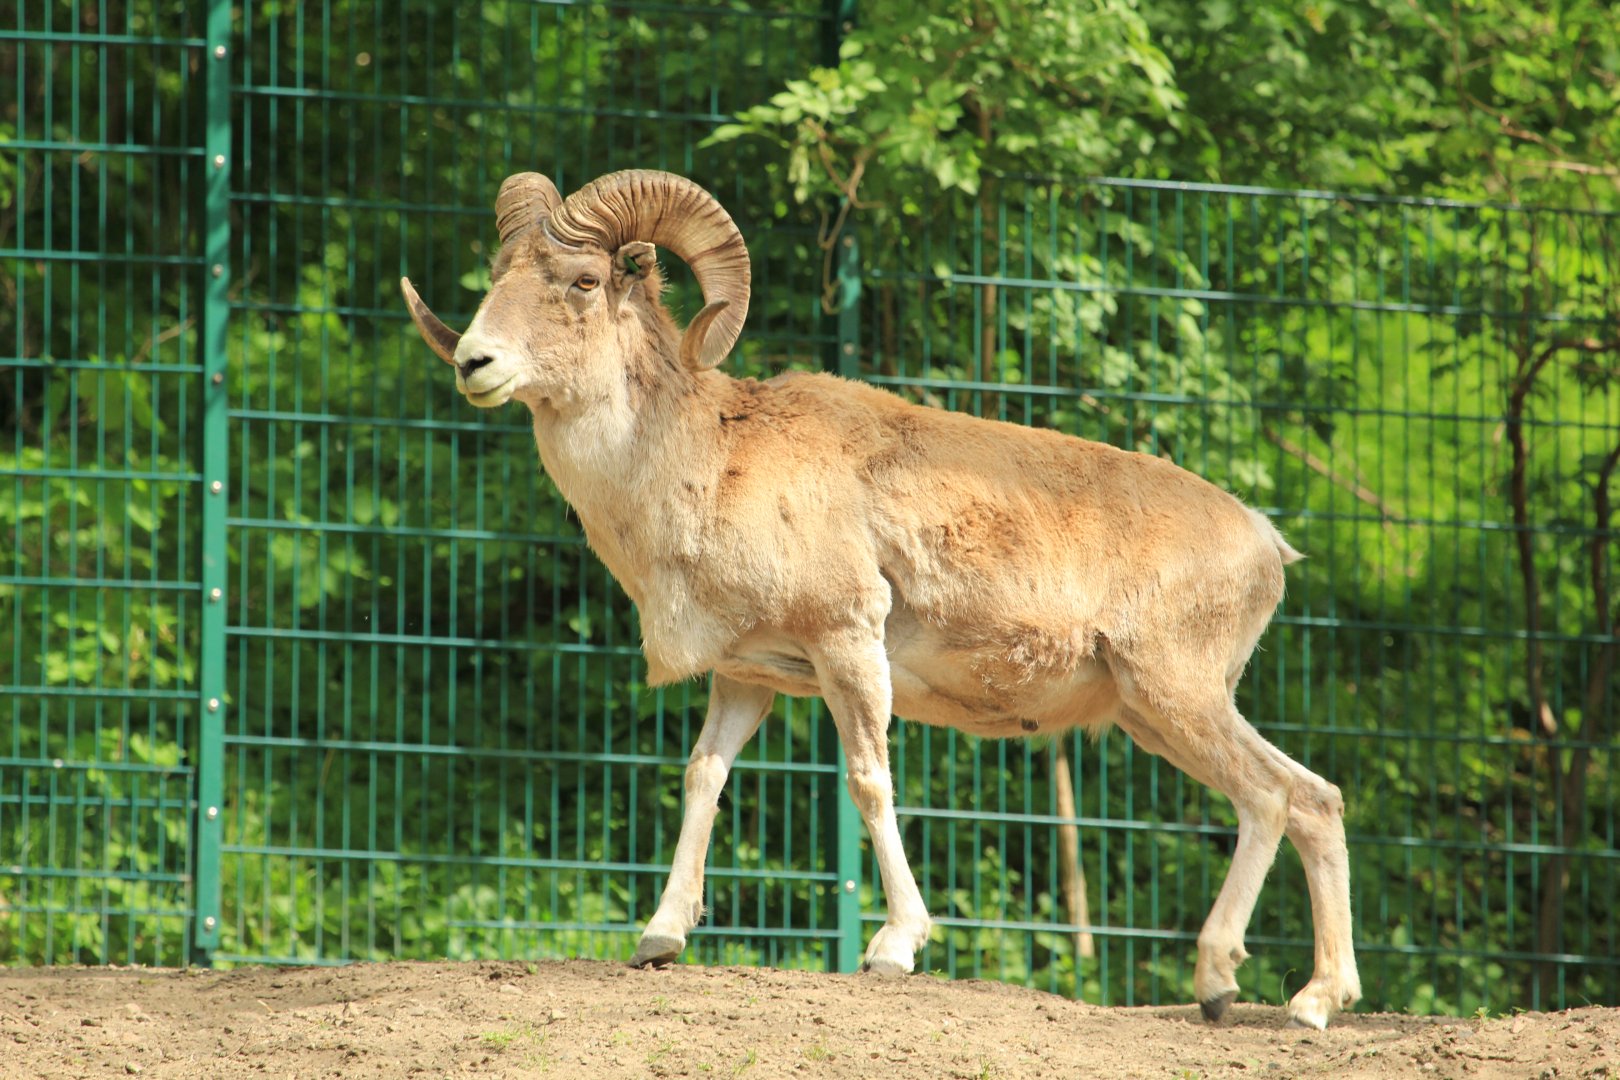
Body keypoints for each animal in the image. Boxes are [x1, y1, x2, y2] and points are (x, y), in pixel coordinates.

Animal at [400, 169, 1363, 1029]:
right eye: (499, 273)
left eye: (584, 281)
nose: (475, 363)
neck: (703, 464)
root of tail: (1264, 542)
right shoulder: (747, 677)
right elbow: (704, 776)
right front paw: (659, 939)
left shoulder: (847, 647)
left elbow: (869, 781)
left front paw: (893, 948)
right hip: (1154, 715)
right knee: (1304, 801)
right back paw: (1289, 1000)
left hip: (1178, 697)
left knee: (1275, 799)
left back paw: (1247, 990)